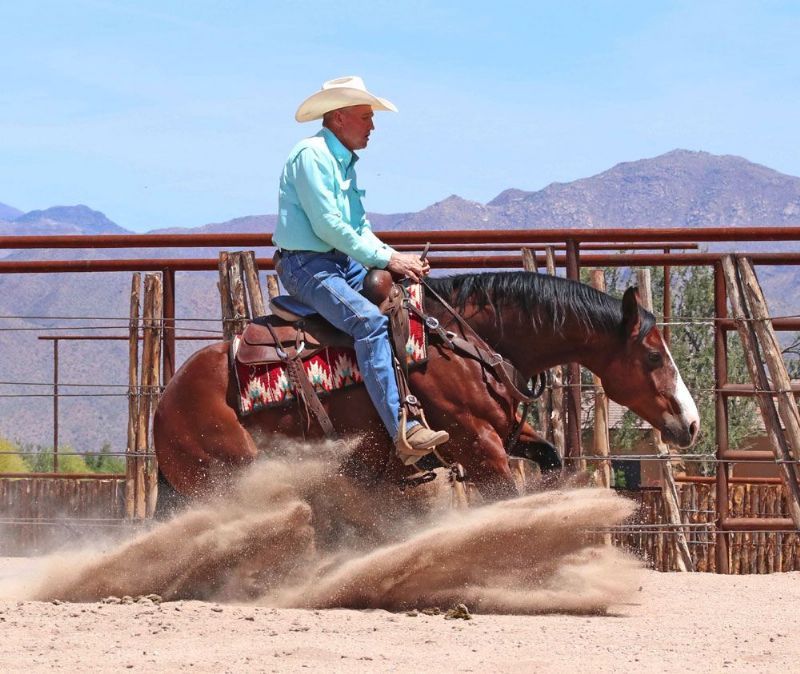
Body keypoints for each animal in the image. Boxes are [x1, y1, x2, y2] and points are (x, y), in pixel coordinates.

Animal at [153, 271, 699, 502]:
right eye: (654, 355)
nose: (691, 424)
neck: (463, 343)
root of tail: (166, 401)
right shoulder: (479, 447)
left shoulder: (506, 432)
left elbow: (550, 457)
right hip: (233, 476)